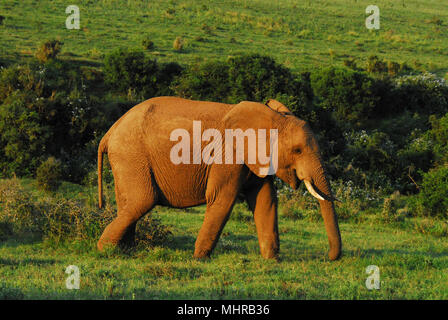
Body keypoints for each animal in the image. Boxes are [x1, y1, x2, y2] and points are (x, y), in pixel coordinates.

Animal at [98, 97, 342, 260]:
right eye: (298, 150)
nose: (328, 258)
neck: (272, 118)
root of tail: (110, 131)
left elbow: (265, 200)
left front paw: (272, 260)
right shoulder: (228, 154)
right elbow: (222, 197)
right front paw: (199, 258)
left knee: (129, 202)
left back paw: (125, 250)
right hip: (131, 154)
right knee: (143, 200)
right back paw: (105, 249)